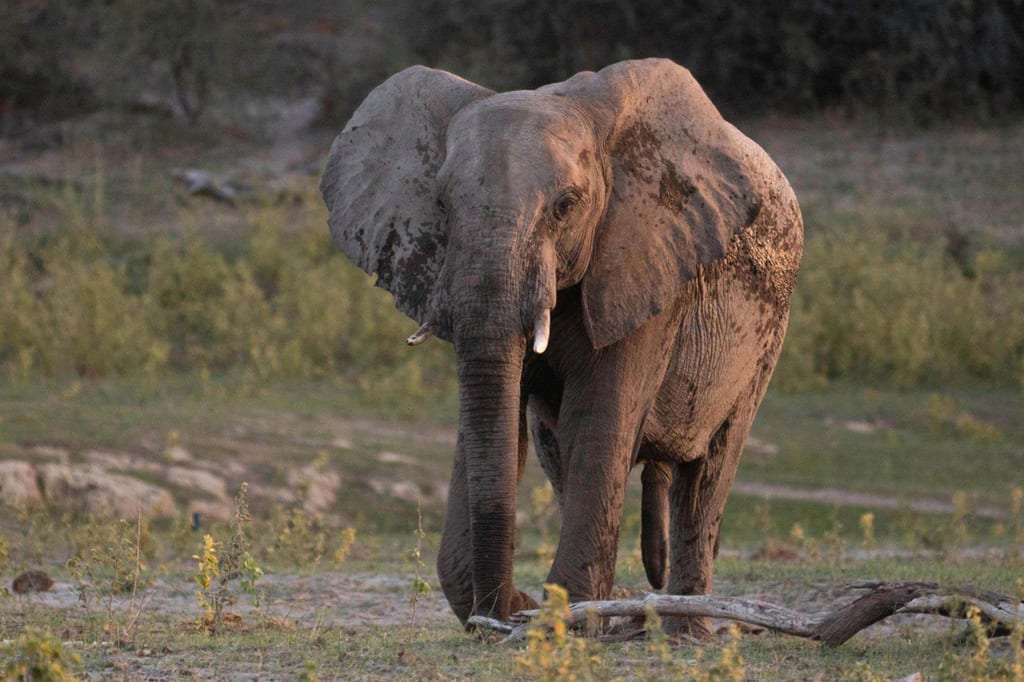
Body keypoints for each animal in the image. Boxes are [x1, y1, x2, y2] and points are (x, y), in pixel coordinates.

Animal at [320, 58, 803, 638]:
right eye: (442, 206)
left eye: (565, 207)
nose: (506, 613)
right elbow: (501, 422)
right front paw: (556, 613)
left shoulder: (647, 262)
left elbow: (597, 418)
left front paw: (564, 619)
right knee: (556, 452)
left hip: (768, 333)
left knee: (709, 471)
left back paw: (681, 631)